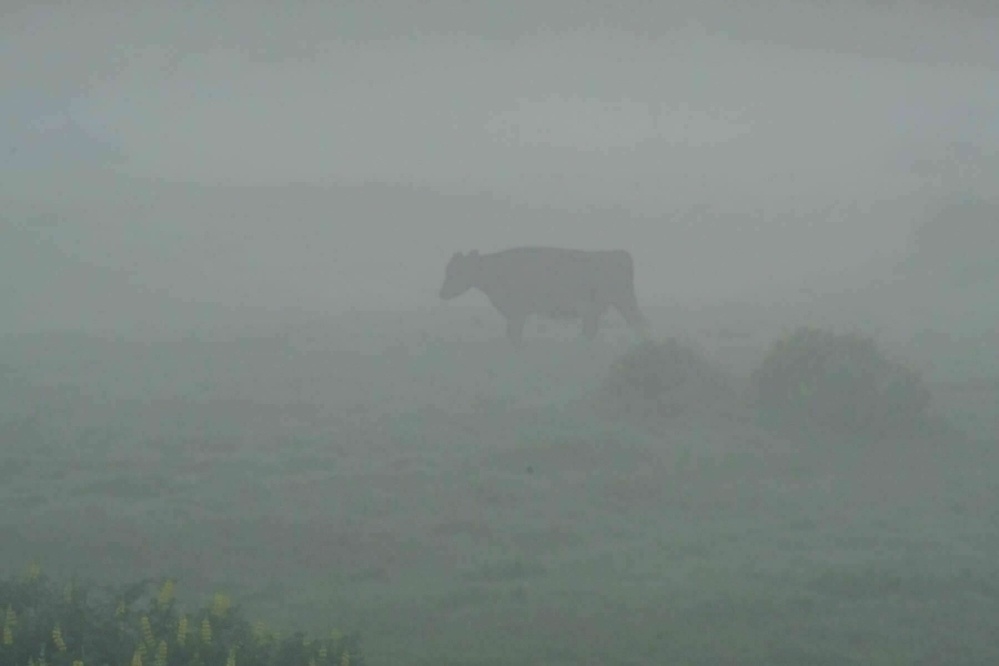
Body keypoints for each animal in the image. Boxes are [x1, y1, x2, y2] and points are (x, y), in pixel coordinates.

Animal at [438, 246, 648, 344]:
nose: (442, 293)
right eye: (448, 270)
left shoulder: (517, 313)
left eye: (457, 271)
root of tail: (617, 253)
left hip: (623, 301)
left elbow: (514, 335)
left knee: (637, 322)